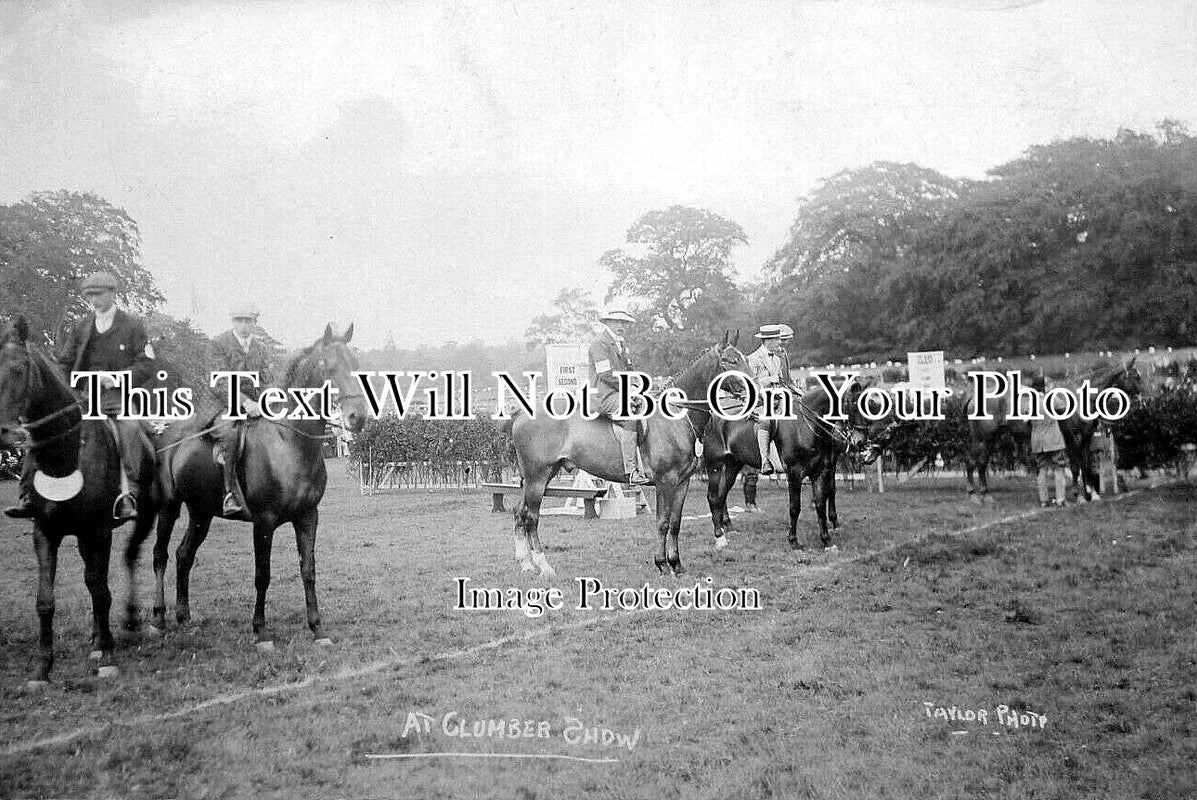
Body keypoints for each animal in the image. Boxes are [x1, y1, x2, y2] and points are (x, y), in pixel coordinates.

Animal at [0, 316, 159, 685]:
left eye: (19, 369)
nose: (4, 433)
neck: (65, 456)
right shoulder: (45, 532)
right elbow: (46, 599)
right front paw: (43, 668)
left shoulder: (98, 531)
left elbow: (101, 590)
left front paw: (109, 657)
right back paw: (96, 637)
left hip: (145, 517)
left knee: (129, 558)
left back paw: (128, 621)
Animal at [155, 320, 368, 646]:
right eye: (329, 367)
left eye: (356, 366)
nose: (358, 418)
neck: (290, 442)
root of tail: (165, 435)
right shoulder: (264, 522)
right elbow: (262, 574)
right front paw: (260, 631)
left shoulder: (308, 517)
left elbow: (308, 570)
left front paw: (317, 628)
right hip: (168, 508)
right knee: (160, 556)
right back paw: (158, 619)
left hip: (201, 512)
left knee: (183, 555)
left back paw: (184, 617)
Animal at [505, 335, 746, 577]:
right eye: (730, 361)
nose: (753, 387)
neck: (676, 417)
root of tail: (521, 413)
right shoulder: (665, 482)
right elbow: (663, 522)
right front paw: (662, 563)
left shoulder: (682, 483)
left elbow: (675, 523)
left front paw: (676, 564)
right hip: (537, 478)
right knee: (531, 517)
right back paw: (544, 566)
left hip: (542, 477)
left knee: (519, 512)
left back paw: (526, 563)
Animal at [699, 378, 871, 553]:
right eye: (852, 403)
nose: (861, 440)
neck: (805, 425)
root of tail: (712, 418)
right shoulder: (795, 473)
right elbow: (795, 507)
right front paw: (793, 541)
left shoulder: (821, 471)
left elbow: (821, 504)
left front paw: (827, 541)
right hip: (715, 467)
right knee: (713, 497)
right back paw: (719, 537)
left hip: (732, 467)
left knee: (721, 496)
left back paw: (726, 528)